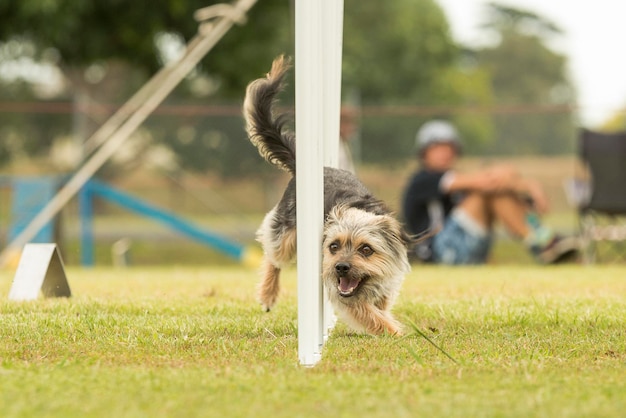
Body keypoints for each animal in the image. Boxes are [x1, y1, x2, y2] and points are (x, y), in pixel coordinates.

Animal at [243, 56, 410, 336]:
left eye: (366, 249)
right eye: (333, 247)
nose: (340, 267)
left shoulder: (387, 277)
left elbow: (381, 304)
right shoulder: (340, 289)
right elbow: (370, 313)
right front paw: (395, 332)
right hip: (285, 233)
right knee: (272, 255)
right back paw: (268, 293)